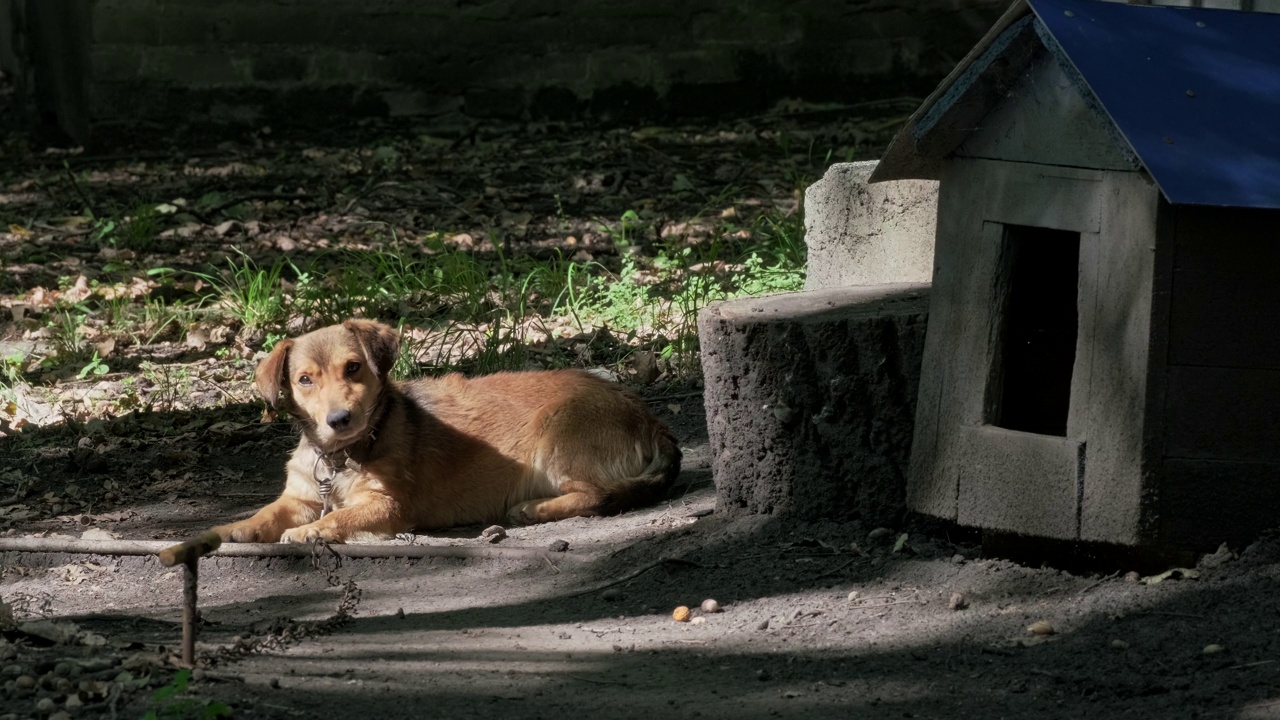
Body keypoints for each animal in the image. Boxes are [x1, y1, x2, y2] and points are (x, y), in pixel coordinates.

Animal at [215, 316, 686, 540]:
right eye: (304, 380)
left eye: (353, 368)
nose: (339, 419)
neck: (341, 456)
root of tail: (650, 418)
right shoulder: (299, 497)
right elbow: (267, 512)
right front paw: (227, 530)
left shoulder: (388, 506)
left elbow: (339, 517)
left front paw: (307, 532)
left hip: (557, 436)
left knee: (595, 495)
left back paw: (534, 509)